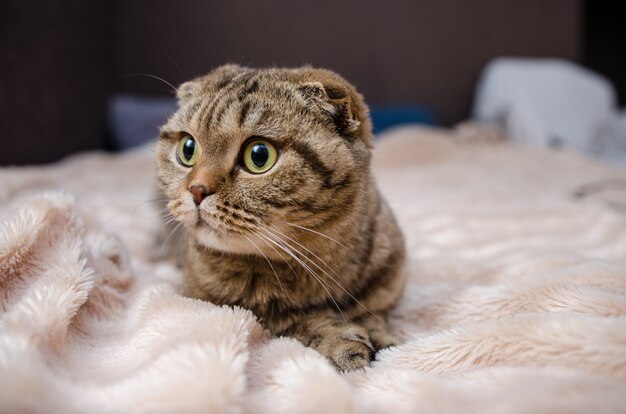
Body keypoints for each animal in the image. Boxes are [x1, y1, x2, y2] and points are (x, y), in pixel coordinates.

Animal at [157, 64, 404, 372]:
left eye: (259, 156)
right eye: (188, 148)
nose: (197, 190)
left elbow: (375, 311)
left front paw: (382, 333)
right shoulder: (224, 303)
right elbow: (295, 319)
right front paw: (339, 338)